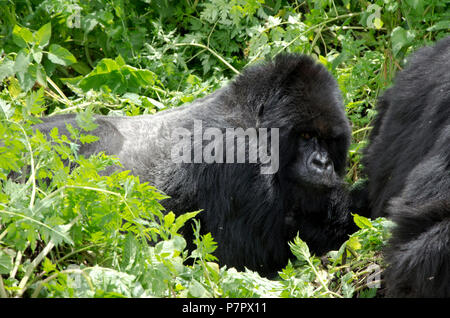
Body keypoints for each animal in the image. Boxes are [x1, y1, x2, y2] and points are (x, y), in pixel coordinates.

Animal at [34, 54, 356, 276]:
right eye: (306, 135)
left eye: (329, 140)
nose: (322, 163)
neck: (254, 118)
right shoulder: (236, 154)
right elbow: (242, 259)